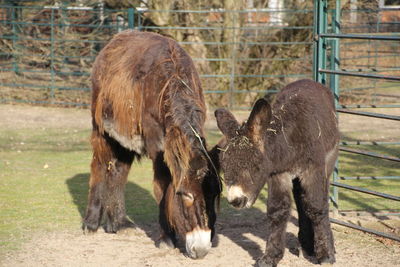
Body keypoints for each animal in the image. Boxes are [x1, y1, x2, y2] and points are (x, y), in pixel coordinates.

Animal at [216, 80, 338, 267]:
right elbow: (277, 211)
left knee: (316, 200)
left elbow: (316, 207)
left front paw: (326, 255)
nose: (236, 200)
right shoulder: (279, 174)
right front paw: (270, 257)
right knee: (300, 199)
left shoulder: (313, 169)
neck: (290, 141)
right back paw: (306, 243)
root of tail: (308, 81)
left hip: (328, 163)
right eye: (224, 166)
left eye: (255, 165)